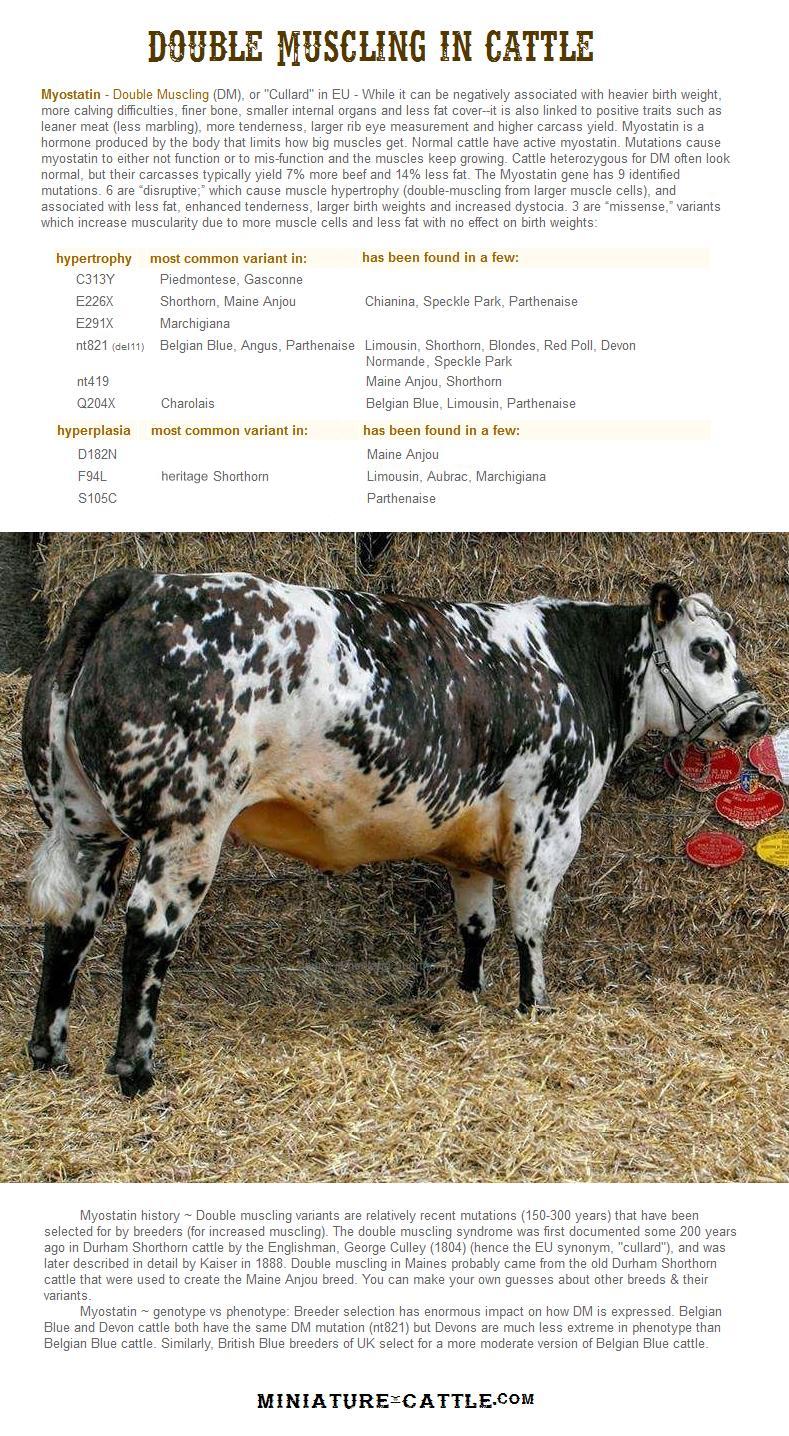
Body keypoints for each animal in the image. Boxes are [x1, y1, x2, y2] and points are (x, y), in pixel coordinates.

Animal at [22, 569, 768, 1097]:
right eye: (707, 649)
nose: (756, 716)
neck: (571, 666)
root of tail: (142, 582)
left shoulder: (468, 843)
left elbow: (477, 926)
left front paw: (468, 1000)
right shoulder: (548, 824)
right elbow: (530, 925)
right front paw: (535, 1008)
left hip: (86, 825)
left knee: (69, 927)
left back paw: (50, 1056)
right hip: (185, 827)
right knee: (147, 932)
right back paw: (135, 1071)